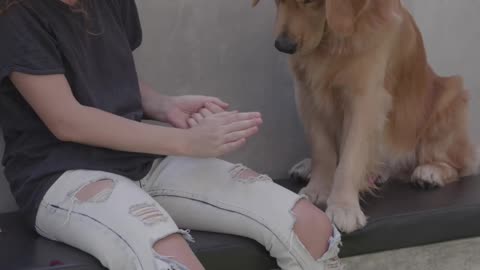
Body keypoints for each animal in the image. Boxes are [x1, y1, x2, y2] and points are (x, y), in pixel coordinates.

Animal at [253, 0, 478, 232]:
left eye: (309, 2)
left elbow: (350, 158)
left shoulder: (366, 100)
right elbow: (322, 149)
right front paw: (318, 189)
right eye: (276, 2)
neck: (334, 39)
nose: (283, 45)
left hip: (451, 97)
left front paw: (344, 207)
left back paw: (429, 172)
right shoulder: (306, 94)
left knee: (460, 165)